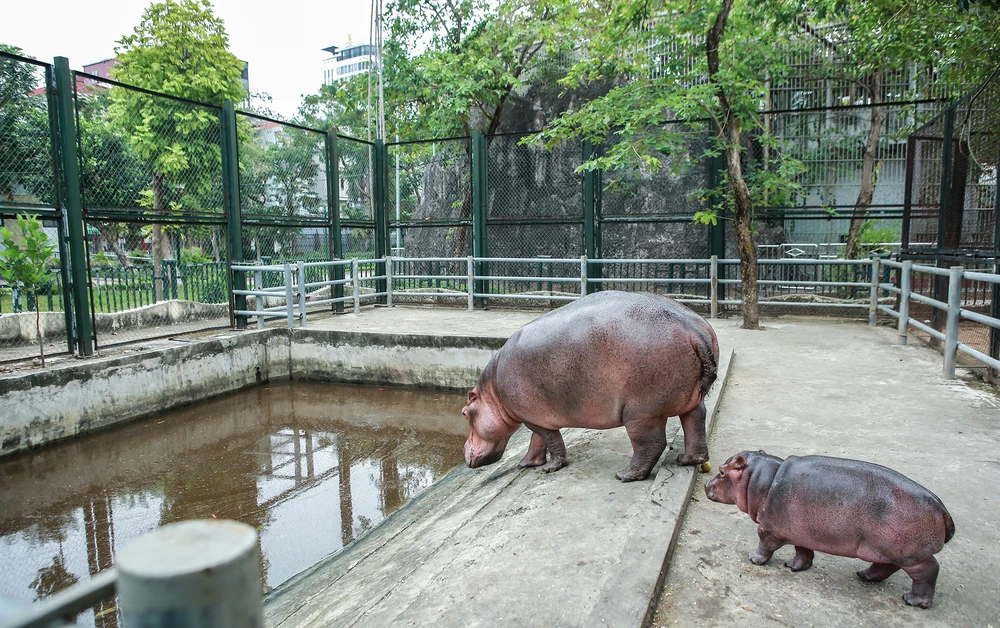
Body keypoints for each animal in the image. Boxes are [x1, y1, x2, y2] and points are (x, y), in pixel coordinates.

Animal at [460, 290, 720, 480]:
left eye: (464, 413)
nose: (464, 452)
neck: (492, 393)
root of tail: (692, 328)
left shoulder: (532, 418)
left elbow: (551, 441)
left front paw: (549, 468)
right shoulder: (538, 415)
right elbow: (537, 442)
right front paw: (527, 463)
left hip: (640, 412)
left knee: (651, 444)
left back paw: (625, 475)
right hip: (690, 399)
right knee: (695, 421)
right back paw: (687, 460)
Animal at [704, 452, 952, 608]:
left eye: (722, 471)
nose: (706, 485)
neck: (760, 478)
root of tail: (942, 508)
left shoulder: (769, 529)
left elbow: (765, 546)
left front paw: (754, 558)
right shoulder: (798, 530)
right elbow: (803, 551)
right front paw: (794, 566)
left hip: (908, 553)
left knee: (929, 570)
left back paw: (913, 601)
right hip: (885, 548)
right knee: (886, 566)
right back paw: (865, 576)